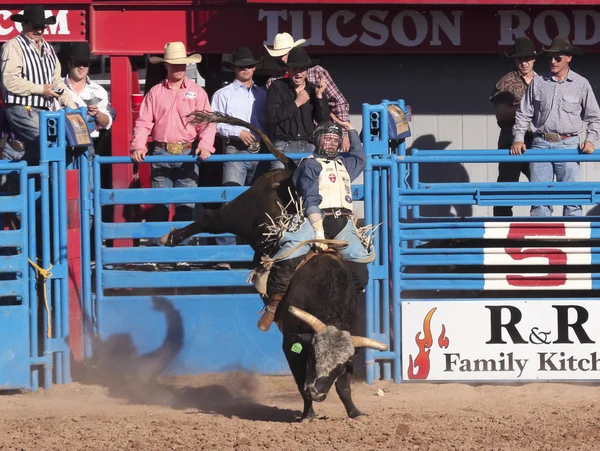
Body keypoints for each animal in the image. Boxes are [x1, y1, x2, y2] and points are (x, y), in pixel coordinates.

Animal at [158, 169, 390, 420]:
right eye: (313, 356)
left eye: (337, 366)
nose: (317, 393)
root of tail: (286, 171)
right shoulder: (290, 344)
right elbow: (299, 381)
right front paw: (308, 414)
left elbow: (344, 385)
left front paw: (354, 412)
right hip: (239, 214)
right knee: (212, 218)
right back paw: (170, 238)